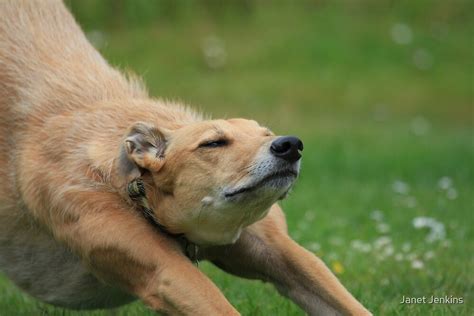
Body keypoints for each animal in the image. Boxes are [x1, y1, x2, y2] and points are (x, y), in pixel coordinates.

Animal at [0, 1, 370, 314]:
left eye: (266, 133)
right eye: (213, 143)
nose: (290, 145)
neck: (130, 185)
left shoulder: (279, 249)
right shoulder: (165, 271)